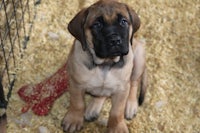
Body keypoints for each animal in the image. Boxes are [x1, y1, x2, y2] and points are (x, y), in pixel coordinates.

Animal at [61, 0, 147, 132]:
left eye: (124, 21)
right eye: (97, 25)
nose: (115, 40)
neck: (105, 63)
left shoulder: (122, 89)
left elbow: (117, 112)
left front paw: (117, 127)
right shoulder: (76, 84)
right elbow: (77, 103)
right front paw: (73, 119)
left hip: (139, 57)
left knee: (134, 82)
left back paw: (131, 105)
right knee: (102, 94)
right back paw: (93, 108)